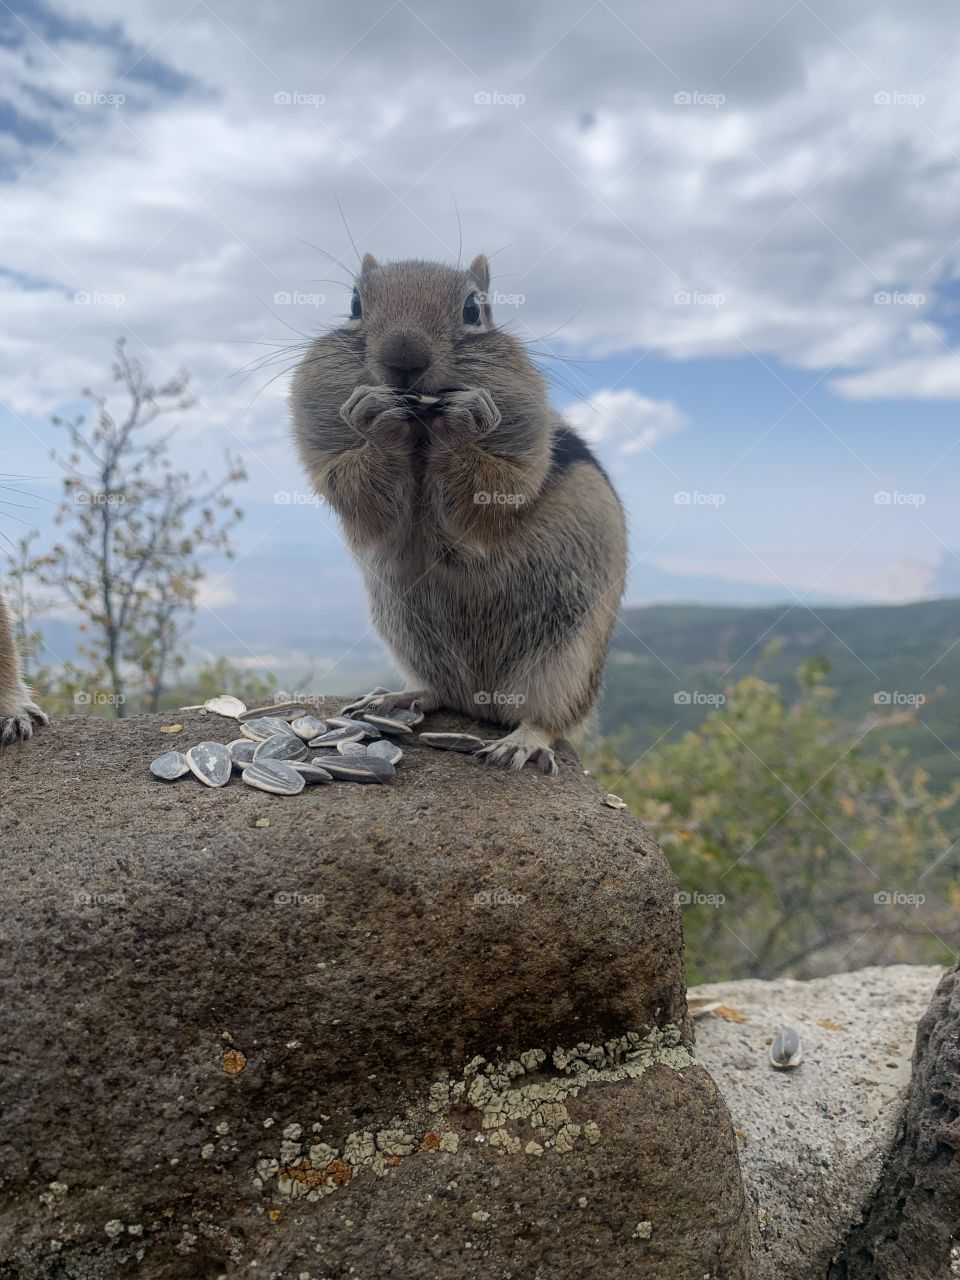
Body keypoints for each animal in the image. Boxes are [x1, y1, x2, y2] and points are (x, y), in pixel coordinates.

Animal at [291, 253, 626, 774]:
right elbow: (359, 492)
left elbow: (491, 491)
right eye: (354, 304)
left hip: (565, 662)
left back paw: (521, 742)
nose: (404, 357)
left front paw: (465, 421)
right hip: (411, 636)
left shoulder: (517, 464)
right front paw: (373, 418)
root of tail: (483, 704)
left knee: (549, 716)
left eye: (473, 309)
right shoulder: (331, 461)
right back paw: (394, 699)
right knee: (442, 692)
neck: (420, 432)